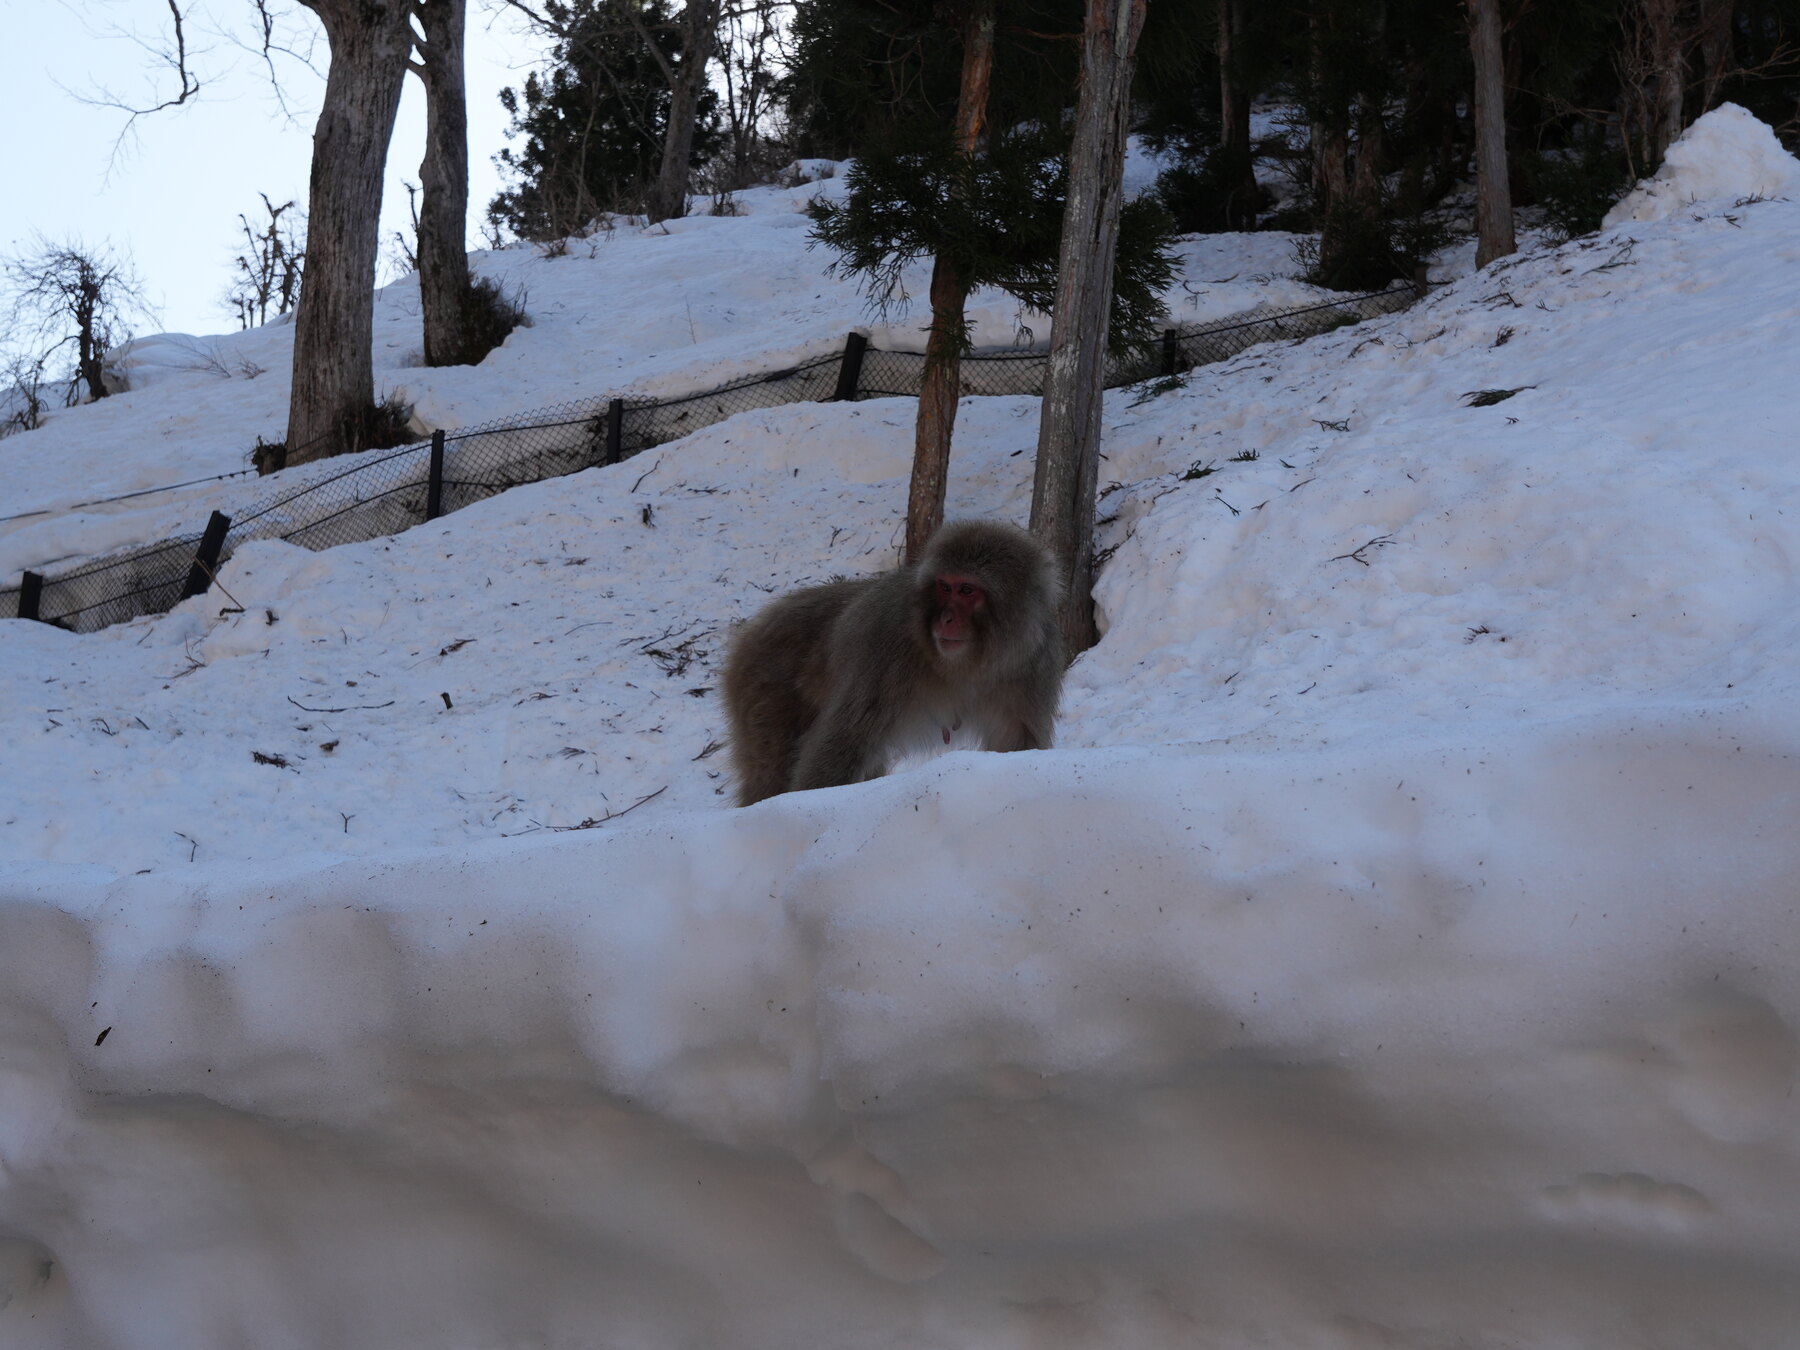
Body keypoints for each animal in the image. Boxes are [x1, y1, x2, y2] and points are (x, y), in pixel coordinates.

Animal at [723, 520, 1064, 806]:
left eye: (967, 590)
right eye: (944, 586)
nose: (945, 618)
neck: (967, 664)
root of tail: (756, 625)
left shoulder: (1035, 660)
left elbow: (1016, 743)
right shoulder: (885, 649)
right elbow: (844, 740)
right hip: (764, 687)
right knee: (772, 769)